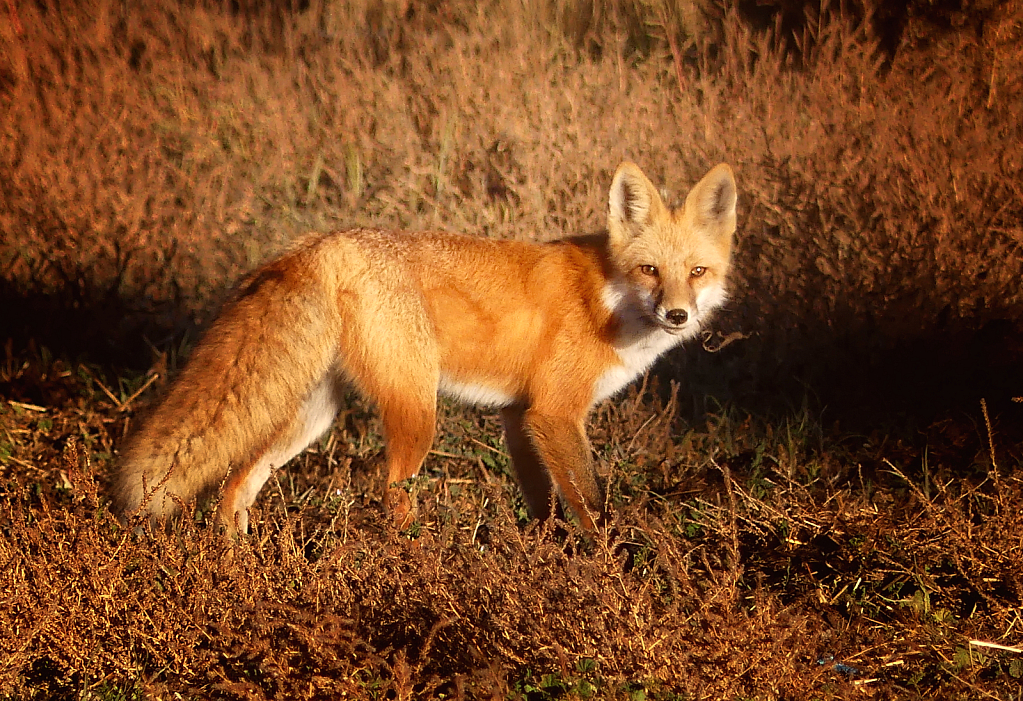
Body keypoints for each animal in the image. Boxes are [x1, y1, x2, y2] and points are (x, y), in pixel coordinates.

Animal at [116, 161, 740, 532]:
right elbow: (591, 507)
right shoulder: (555, 414)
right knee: (391, 498)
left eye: (697, 272)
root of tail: (326, 241)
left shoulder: (519, 417)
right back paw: (412, 571)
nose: (678, 315)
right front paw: (606, 577)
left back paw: (237, 573)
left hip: (314, 414)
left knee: (235, 486)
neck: (606, 297)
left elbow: (542, 508)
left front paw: (540, 567)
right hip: (418, 413)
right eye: (650, 270)